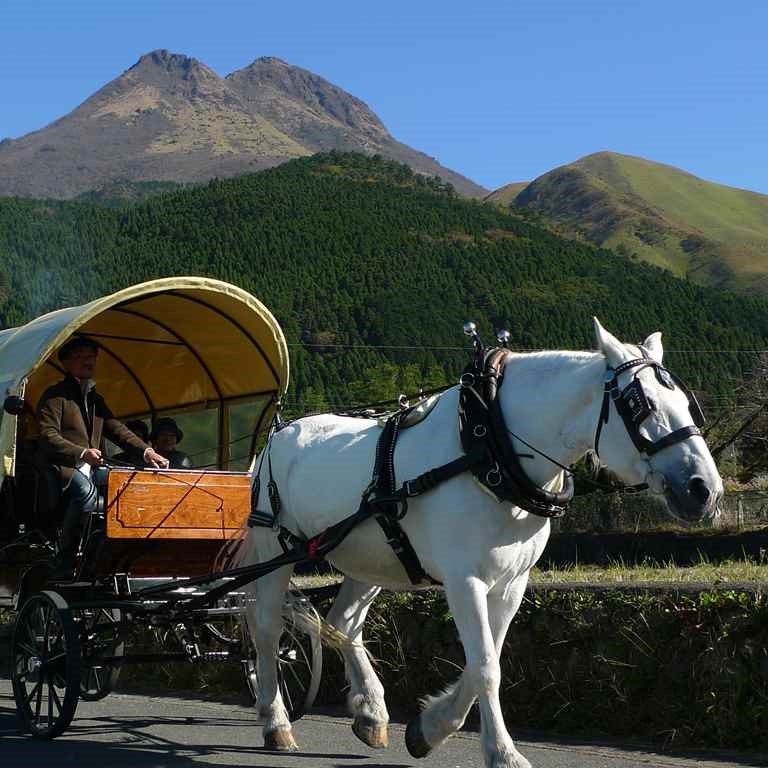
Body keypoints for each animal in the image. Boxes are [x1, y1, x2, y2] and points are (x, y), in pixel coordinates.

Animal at [238, 320, 720, 768]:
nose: (704, 489)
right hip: (276, 548)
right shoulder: (464, 579)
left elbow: (485, 660)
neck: (490, 448)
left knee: (344, 623)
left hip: (371, 557)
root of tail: (281, 432)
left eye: (686, 404)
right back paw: (276, 721)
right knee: (267, 629)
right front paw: (502, 752)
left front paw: (430, 728)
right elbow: (487, 666)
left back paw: (371, 712)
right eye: (640, 405)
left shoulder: (511, 582)